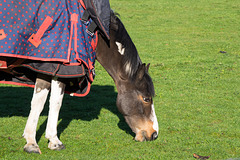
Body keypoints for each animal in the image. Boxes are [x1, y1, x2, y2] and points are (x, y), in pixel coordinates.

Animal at [0, 9, 159, 154]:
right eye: (146, 98)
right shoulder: (60, 68)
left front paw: (31, 142)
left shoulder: (46, 68)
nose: (154, 134)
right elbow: (55, 103)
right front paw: (54, 141)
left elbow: (38, 103)